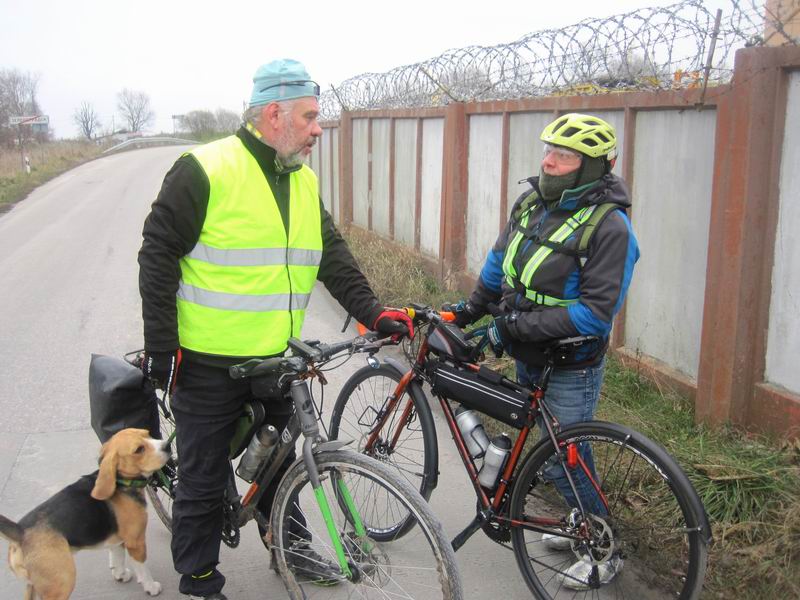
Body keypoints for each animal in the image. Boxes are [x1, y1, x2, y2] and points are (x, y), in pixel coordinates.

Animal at [0, 428, 169, 596]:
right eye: (139, 449)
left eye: (147, 434)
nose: (167, 445)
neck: (121, 481)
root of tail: (21, 531)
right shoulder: (136, 541)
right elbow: (143, 568)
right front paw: (151, 586)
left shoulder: (118, 539)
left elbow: (117, 556)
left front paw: (120, 574)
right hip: (63, 581)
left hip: (33, 586)